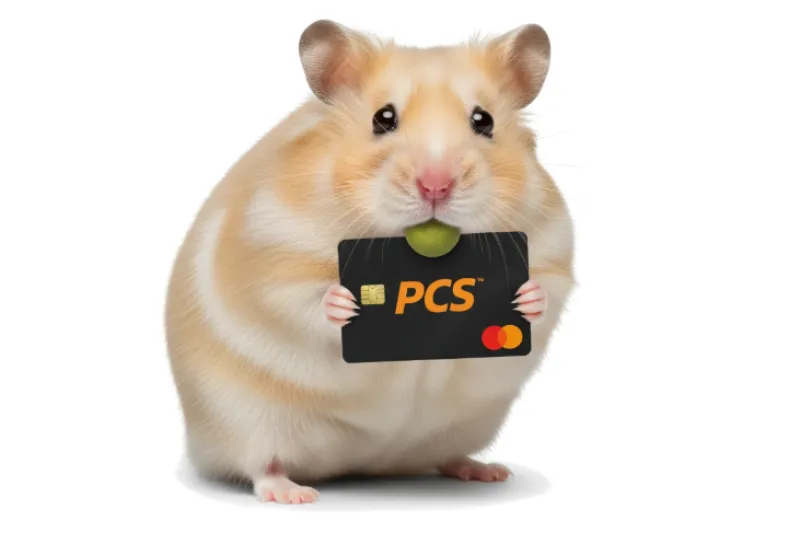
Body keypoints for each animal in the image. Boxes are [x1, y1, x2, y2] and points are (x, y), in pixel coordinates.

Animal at [164, 19, 575, 504]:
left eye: (484, 121)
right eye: (383, 118)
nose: (436, 186)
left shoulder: (552, 248)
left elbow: (546, 291)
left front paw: (525, 296)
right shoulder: (270, 258)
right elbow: (305, 300)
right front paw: (344, 301)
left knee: (444, 456)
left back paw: (486, 471)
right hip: (247, 422)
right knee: (261, 466)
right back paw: (295, 494)